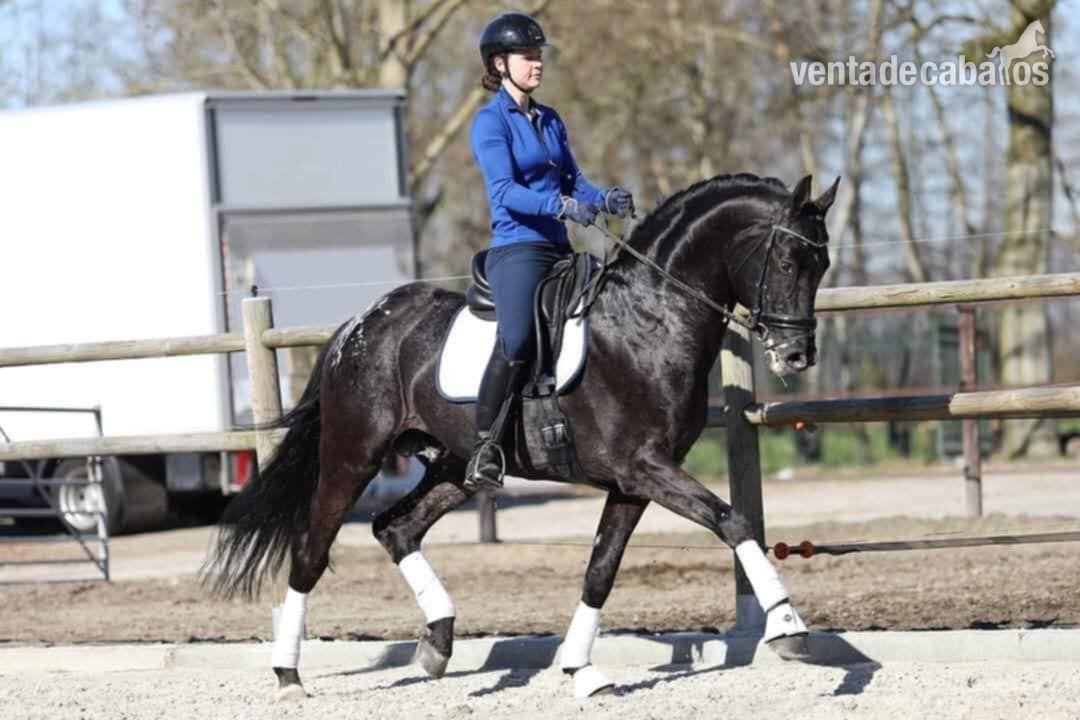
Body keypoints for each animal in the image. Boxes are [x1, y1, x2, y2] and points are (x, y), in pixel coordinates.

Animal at [202, 171, 840, 700]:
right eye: (788, 261)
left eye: (823, 265)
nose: (797, 355)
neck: (649, 322)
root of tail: (361, 324)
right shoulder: (645, 468)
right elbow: (733, 521)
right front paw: (789, 627)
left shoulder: (634, 481)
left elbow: (601, 570)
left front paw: (581, 670)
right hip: (353, 455)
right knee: (312, 548)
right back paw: (288, 675)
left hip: (454, 467)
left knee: (394, 527)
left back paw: (437, 642)